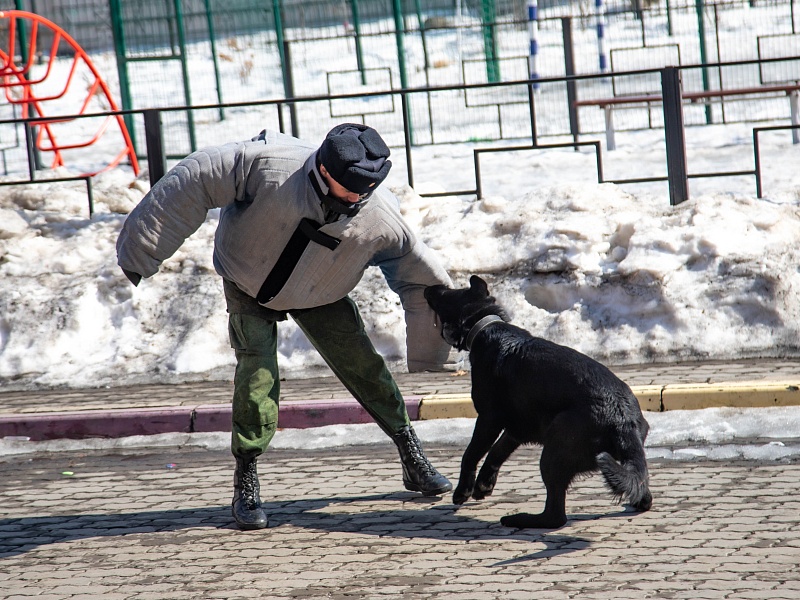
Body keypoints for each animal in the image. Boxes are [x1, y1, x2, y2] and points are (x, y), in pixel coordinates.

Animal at [424, 275, 653, 529]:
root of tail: (624, 421)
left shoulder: (488, 419)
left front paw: (463, 490)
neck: (485, 326)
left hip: (554, 450)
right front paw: (484, 483)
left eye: (446, 293)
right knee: (642, 492)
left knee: (556, 515)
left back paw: (520, 519)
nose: (429, 287)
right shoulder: (517, 429)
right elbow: (497, 452)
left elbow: (471, 453)